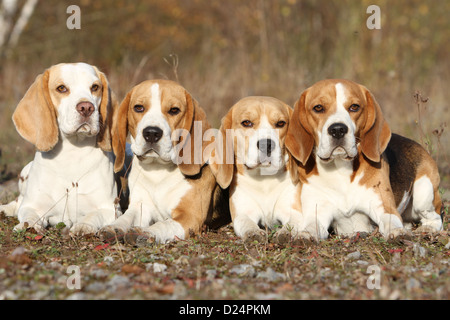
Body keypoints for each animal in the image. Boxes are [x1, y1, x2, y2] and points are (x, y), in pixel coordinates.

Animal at [0, 62, 118, 234]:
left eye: (95, 87)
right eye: (61, 88)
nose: (86, 107)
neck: (72, 152)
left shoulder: (108, 208)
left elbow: (93, 215)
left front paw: (83, 226)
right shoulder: (33, 205)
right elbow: (29, 215)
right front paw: (28, 226)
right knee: (17, 201)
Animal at [100, 80, 230, 245]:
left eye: (174, 110)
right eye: (138, 107)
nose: (151, 133)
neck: (158, 172)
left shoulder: (190, 216)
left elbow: (163, 224)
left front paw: (144, 232)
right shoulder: (141, 206)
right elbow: (126, 217)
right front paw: (114, 227)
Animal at [211, 97, 302, 242]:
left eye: (281, 123)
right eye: (246, 122)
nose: (267, 144)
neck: (264, 181)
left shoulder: (293, 210)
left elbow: (292, 223)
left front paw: (286, 233)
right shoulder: (244, 212)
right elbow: (246, 223)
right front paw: (253, 233)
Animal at [286, 79, 442, 239]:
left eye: (354, 107)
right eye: (318, 108)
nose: (338, 130)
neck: (339, 169)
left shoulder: (383, 206)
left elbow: (391, 221)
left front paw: (397, 232)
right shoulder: (317, 212)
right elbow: (311, 226)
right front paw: (304, 234)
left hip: (424, 192)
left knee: (436, 218)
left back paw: (427, 229)